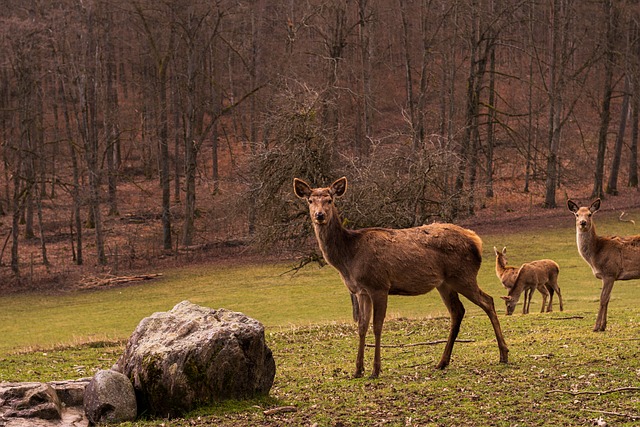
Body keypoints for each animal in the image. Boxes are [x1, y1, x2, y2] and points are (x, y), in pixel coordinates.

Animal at [292, 176, 508, 380]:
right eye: (310, 200)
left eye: (329, 200)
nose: (319, 215)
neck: (349, 258)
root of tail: (476, 240)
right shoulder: (361, 291)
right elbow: (362, 326)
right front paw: (357, 370)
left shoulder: (379, 285)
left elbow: (377, 326)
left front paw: (375, 370)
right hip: (445, 283)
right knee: (458, 311)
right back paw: (442, 362)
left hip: (463, 276)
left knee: (488, 301)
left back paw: (503, 354)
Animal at [568, 199, 640, 332]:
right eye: (577, 214)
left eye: (590, 214)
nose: (582, 222)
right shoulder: (606, 276)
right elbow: (608, 299)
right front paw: (603, 326)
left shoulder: (610, 273)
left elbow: (603, 299)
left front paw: (596, 327)